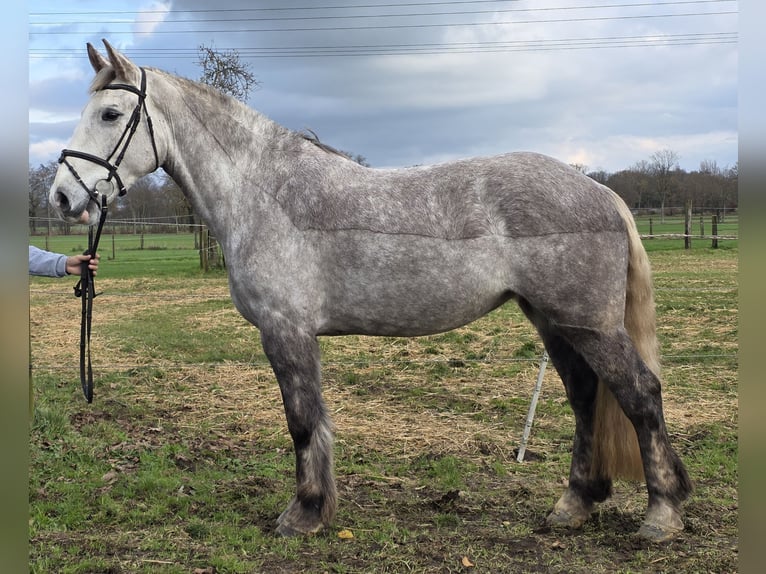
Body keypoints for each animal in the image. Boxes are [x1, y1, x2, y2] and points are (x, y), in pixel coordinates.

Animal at [48, 39, 692, 542]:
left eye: (110, 114)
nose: (61, 196)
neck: (267, 193)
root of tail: (599, 192)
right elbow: (312, 421)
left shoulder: (286, 332)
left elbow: (303, 422)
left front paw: (304, 514)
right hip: (556, 323)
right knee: (586, 398)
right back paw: (574, 505)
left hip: (588, 324)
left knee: (639, 394)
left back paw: (660, 514)